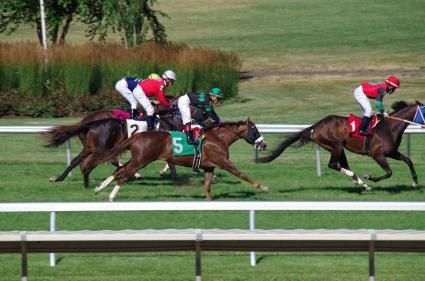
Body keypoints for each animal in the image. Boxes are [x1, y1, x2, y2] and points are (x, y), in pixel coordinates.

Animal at [93, 117, 264, 200]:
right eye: (255, 130)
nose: (264, 144)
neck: (218, 138)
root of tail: (136, 136)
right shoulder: (222, 161)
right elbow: (241, 174)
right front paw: (262, 187)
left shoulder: (209, 166)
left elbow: (207, 186)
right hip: (141, 160)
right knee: (125, 174)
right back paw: (111, 195)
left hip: (137, 158)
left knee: (120, 169)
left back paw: (99, 188)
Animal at [253, 99, 422, 189]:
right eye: (424, 110)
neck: (387, 128)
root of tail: (315, 127)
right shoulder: (377, 154)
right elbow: (389, 172)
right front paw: (370, 177)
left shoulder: (391, 152)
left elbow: (408, 160)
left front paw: (415, 182)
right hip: (335, 145)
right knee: (333, 165)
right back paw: (358, 179)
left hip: (339, 148)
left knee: (342, 164)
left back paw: (360, 182)